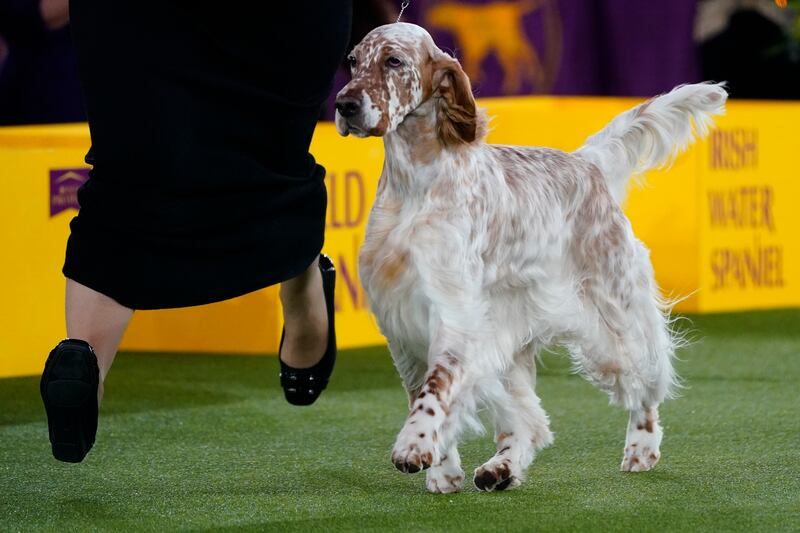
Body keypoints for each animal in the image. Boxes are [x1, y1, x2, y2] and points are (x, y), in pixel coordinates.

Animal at [334, 22, 728, 492]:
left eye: (393, 60)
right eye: (353, 61)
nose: (344, 105)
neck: (416, 184)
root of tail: (587, 163)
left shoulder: (454, 311)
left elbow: (434, 390)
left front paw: (413, 447)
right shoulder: (402, 320)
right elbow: (425, 393)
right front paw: (442, 469)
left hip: (613, 313)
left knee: (645, 385)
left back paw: (641, 448)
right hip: (513, 334)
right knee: (527, 421)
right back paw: (501, 467)